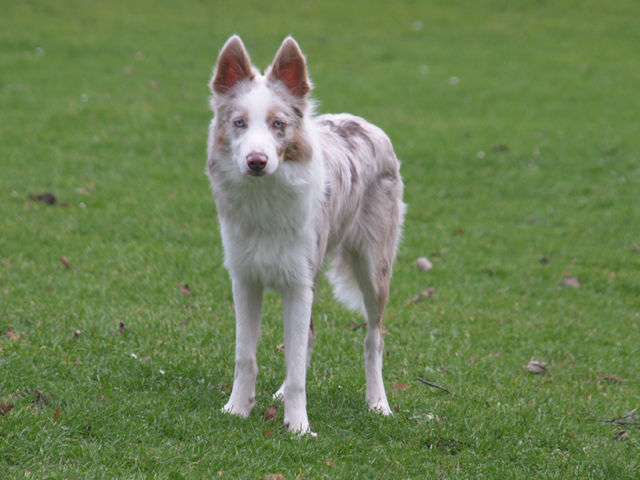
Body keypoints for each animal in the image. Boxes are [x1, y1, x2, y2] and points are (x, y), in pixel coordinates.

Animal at [206, 35, 405, 434]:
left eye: (278, 124)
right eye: (239, 123)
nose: (256, 161)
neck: (265, 200)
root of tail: (362, 121)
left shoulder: (297, 285)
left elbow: (297, 365)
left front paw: (298, 427)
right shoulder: (245, 280)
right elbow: (245, 356)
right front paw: (237, 409)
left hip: (374, 272)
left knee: (374, 338)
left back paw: (378, 403)